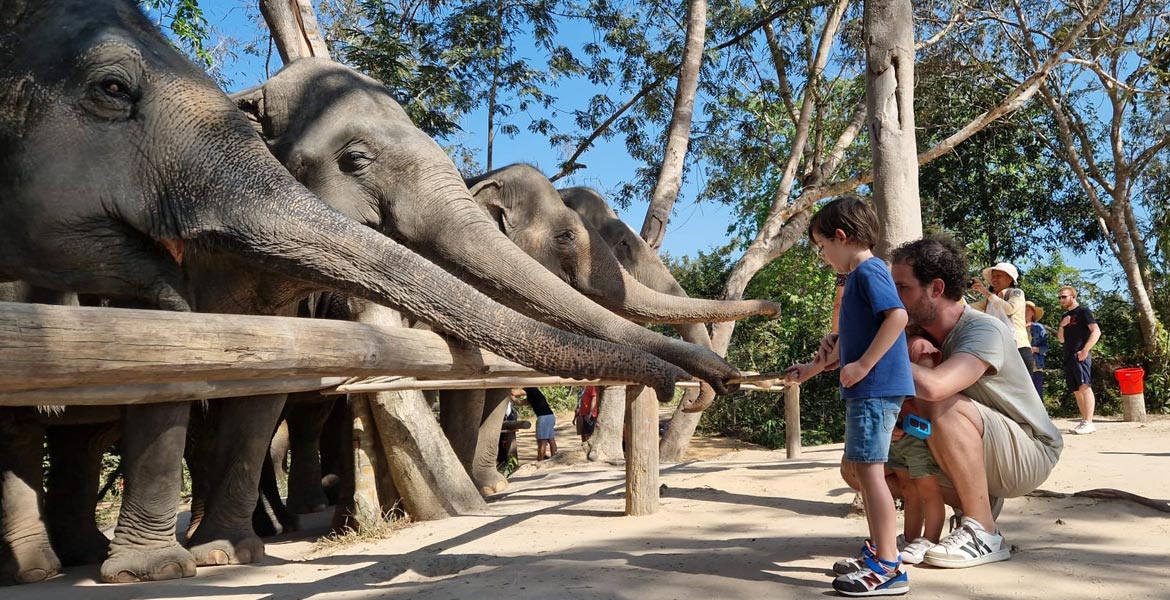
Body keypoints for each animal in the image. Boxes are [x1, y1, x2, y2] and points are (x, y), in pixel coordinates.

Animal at [0, 0, 687, 582]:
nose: (681, 383)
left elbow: (261, 398)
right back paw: (46, 568)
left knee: (87, 437)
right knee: (35, 428)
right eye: (355, 160)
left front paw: (229, 553)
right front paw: (161, 571)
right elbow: (175, 371)